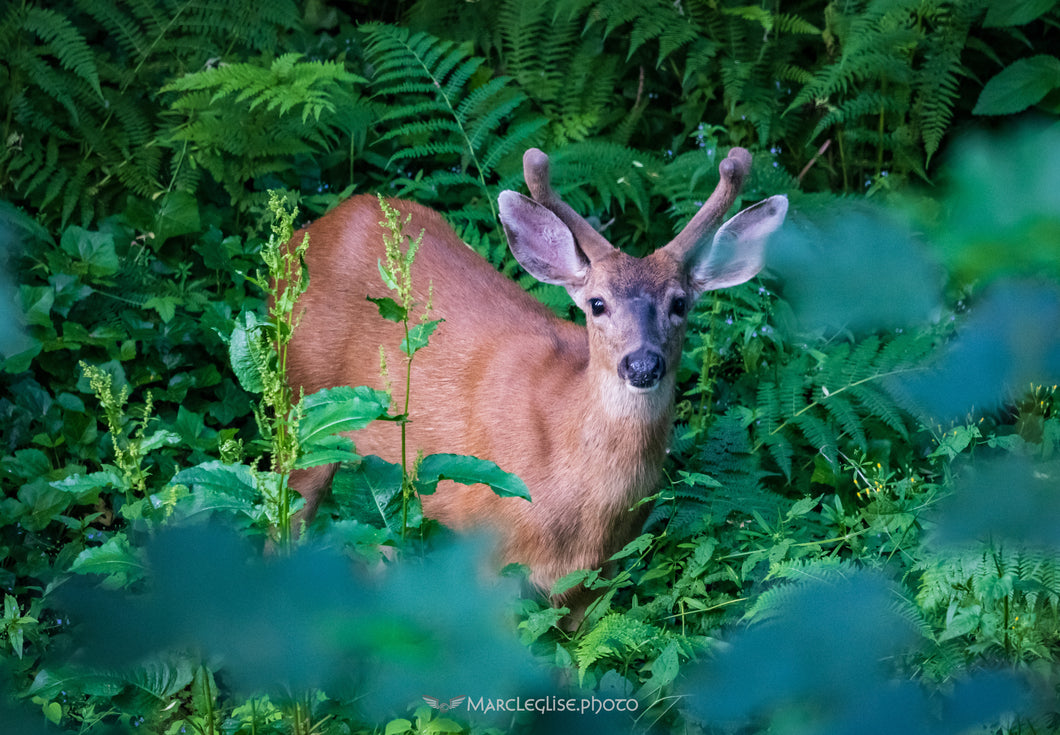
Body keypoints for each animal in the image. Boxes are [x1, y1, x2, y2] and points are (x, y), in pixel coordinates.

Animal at [284, 147, 787, 621]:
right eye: (597, 303)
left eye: (679, 303)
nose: (642, 364)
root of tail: (305, 234)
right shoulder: (489, 554)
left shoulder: (596, 579)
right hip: (304, 407)